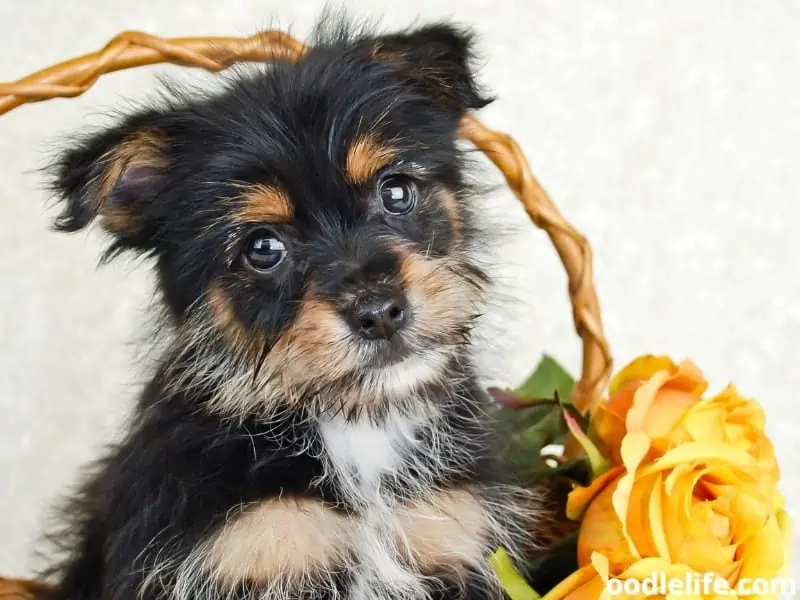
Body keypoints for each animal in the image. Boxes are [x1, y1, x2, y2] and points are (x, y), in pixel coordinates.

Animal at [37, 16, 544, 600]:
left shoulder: (452, 535)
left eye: (396, 192)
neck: (355, 429)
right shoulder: (252, 549)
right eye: (263, 248)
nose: (379, 311)